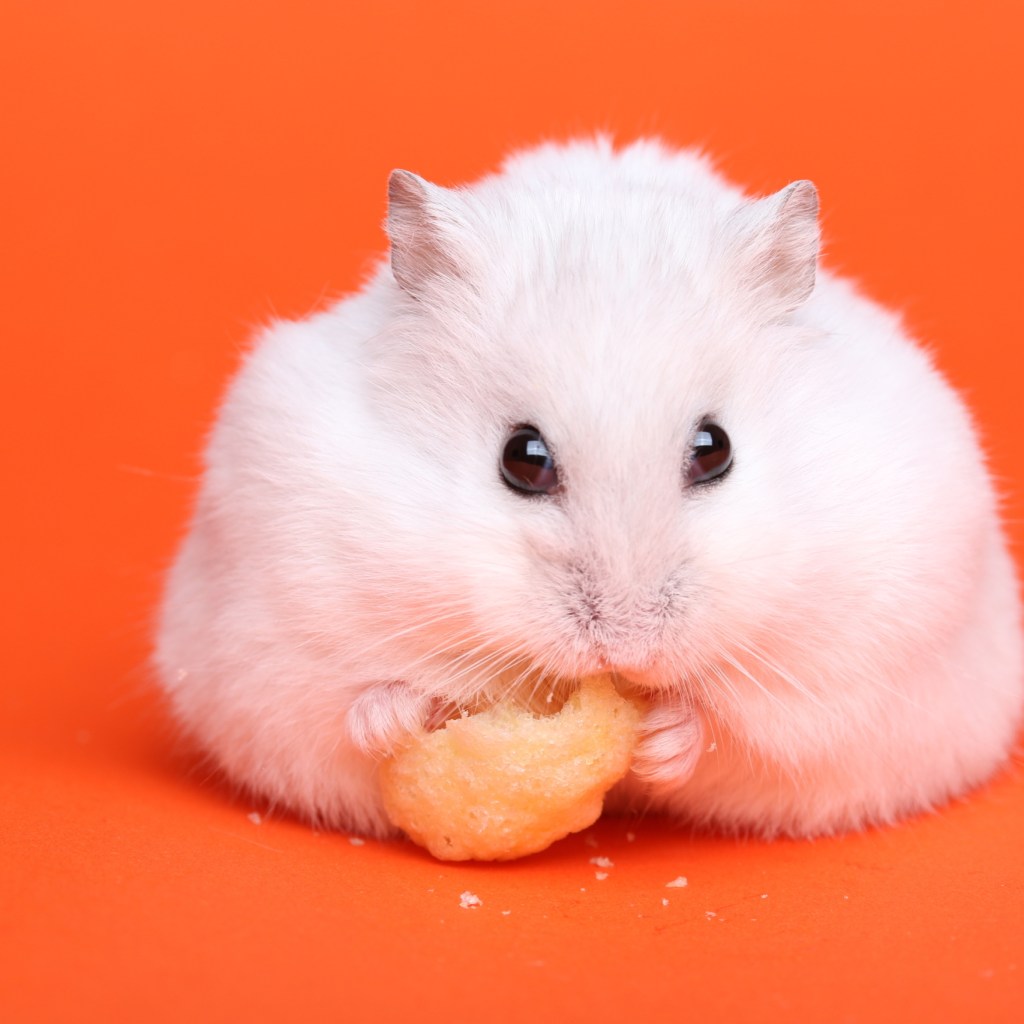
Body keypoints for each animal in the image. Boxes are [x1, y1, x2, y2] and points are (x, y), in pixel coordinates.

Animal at [155, 137, 1023, 839]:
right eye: (523, 458)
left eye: (714, 450)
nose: (626, 647)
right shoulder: (272, 619)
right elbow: (342, 701)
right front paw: (403, 712)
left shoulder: (859, 662)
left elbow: (752, 731)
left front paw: (667, 738)